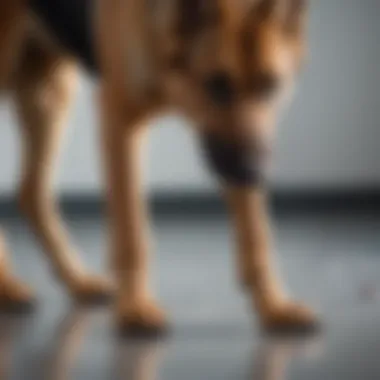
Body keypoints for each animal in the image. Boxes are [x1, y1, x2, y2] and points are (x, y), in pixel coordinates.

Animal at [0, 0, 318, 332]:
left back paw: (77, 280)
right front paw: (135, 305)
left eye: (271, 86)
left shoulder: (234, 153)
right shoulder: (120, 123)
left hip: (49, 94)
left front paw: (274, 305)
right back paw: (7, 285)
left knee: (31, 193)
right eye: (217, 85)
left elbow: (257, 234)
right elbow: (132, 232)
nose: (253, 173)